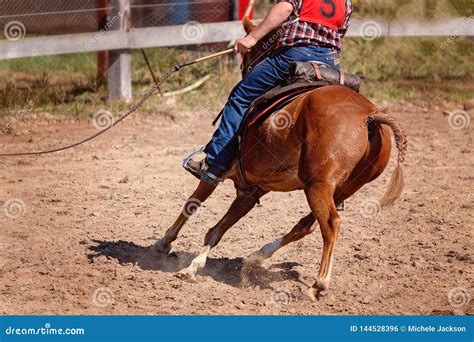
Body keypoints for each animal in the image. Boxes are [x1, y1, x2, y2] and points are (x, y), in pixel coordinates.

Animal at [156, 18, 408, 300]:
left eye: (248, 55)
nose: (246, 64)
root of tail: (369, 117)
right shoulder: (250, 191)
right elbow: (217, 230)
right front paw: (193, 267)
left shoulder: (219, 173)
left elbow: (193, 203)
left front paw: (165, 242)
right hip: (344, 188)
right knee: (306, 225)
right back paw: (257, 257)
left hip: (318, 186)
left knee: (330, 224)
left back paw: (318, 285)